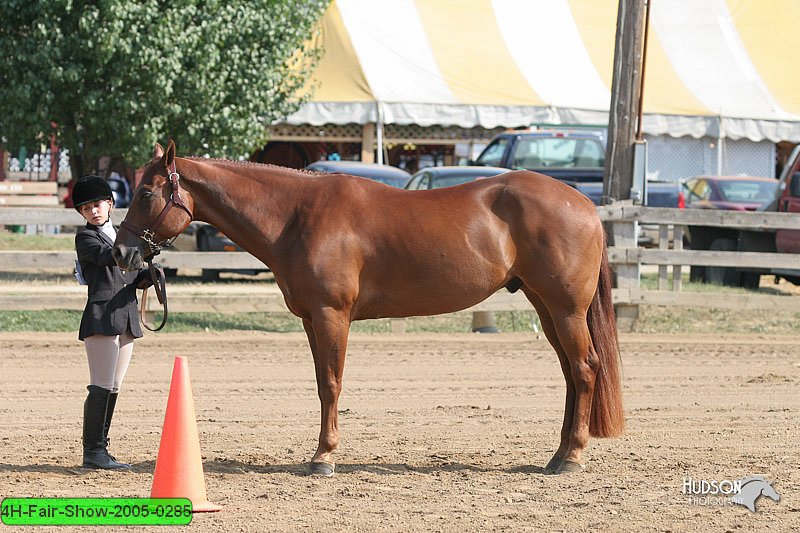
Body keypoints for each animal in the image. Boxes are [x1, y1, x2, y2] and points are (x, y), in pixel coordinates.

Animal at [114, 140, 624, 474]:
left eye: (145, 193)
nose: (122, 253)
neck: (297, 215)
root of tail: (585, 205)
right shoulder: (311, 320)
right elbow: (322, 383)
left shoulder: (331, 316)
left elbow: (332, 384)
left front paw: (324, 458)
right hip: (547, 308)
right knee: (571, 374)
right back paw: (557, 454)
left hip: (565, 310)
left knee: (585, 369)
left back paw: (572, 458)